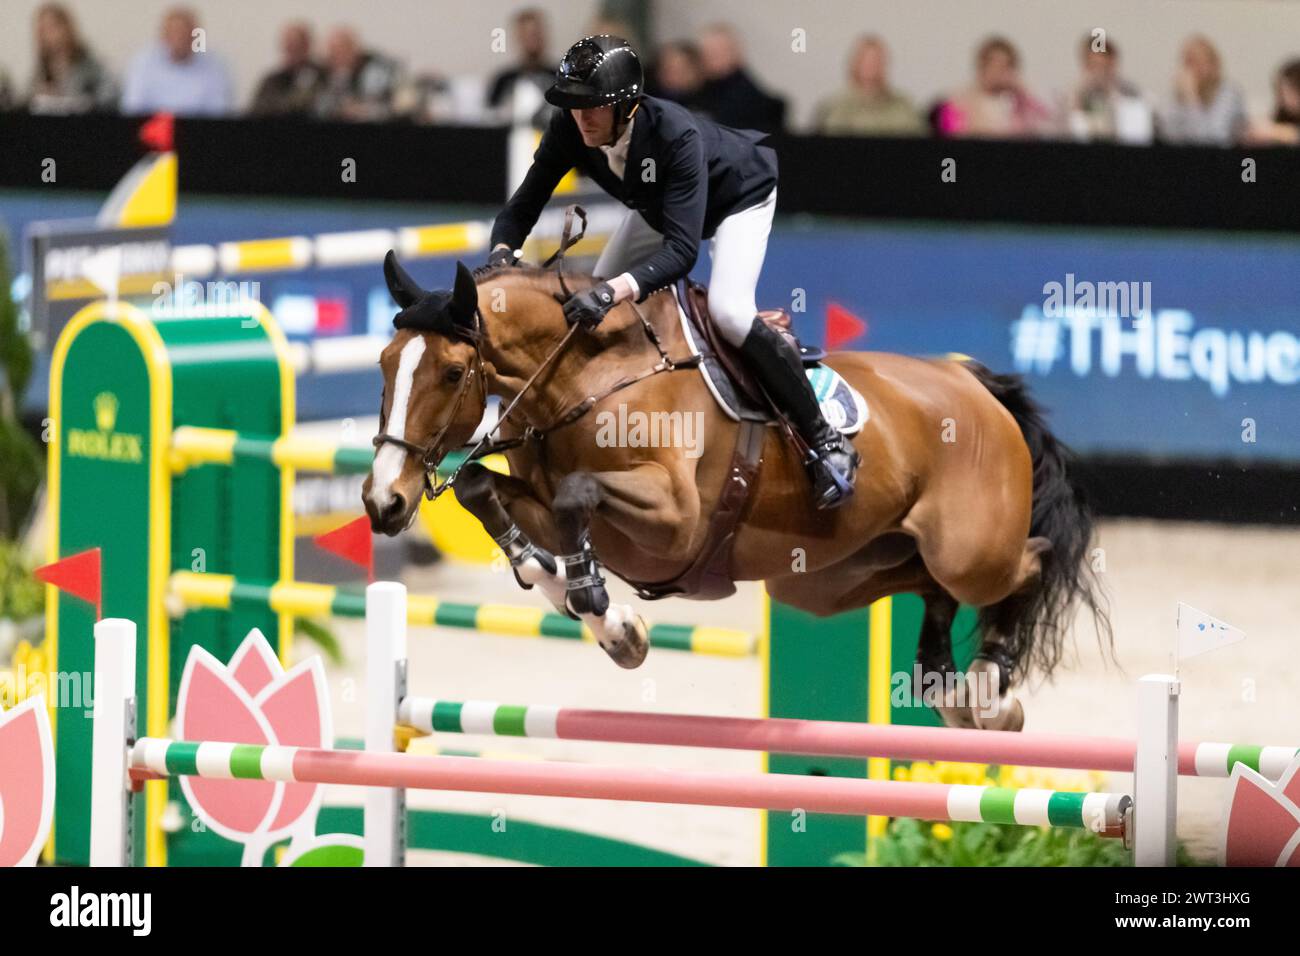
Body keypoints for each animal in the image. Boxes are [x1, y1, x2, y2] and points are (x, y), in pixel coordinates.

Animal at [364, 252, 1107, 733]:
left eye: (452, 371)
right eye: (383, 362)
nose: (382, 502)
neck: (585, 378)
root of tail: (973, 382)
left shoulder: (674, 524)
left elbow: (576, 496)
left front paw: (602, 608)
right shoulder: (552, 506)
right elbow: (483, 491)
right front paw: (611, 626)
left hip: (970, 551)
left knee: (1031, 561)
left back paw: (991, 687)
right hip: (829, 578)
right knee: (928, 586)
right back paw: (949, 688)